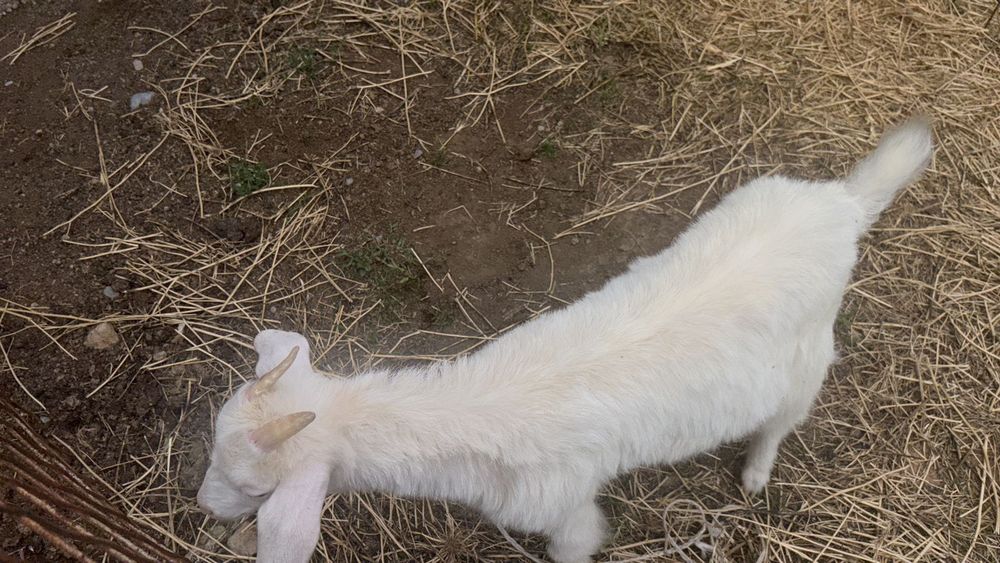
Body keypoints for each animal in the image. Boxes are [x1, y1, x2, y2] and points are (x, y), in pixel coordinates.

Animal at [197, 118, 932, 563]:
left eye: (254, 490)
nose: (202, 505)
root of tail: (842, 205)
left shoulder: (566, 508)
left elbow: (575, 542)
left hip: (808, 354)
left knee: (783, 418)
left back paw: (755, 471)